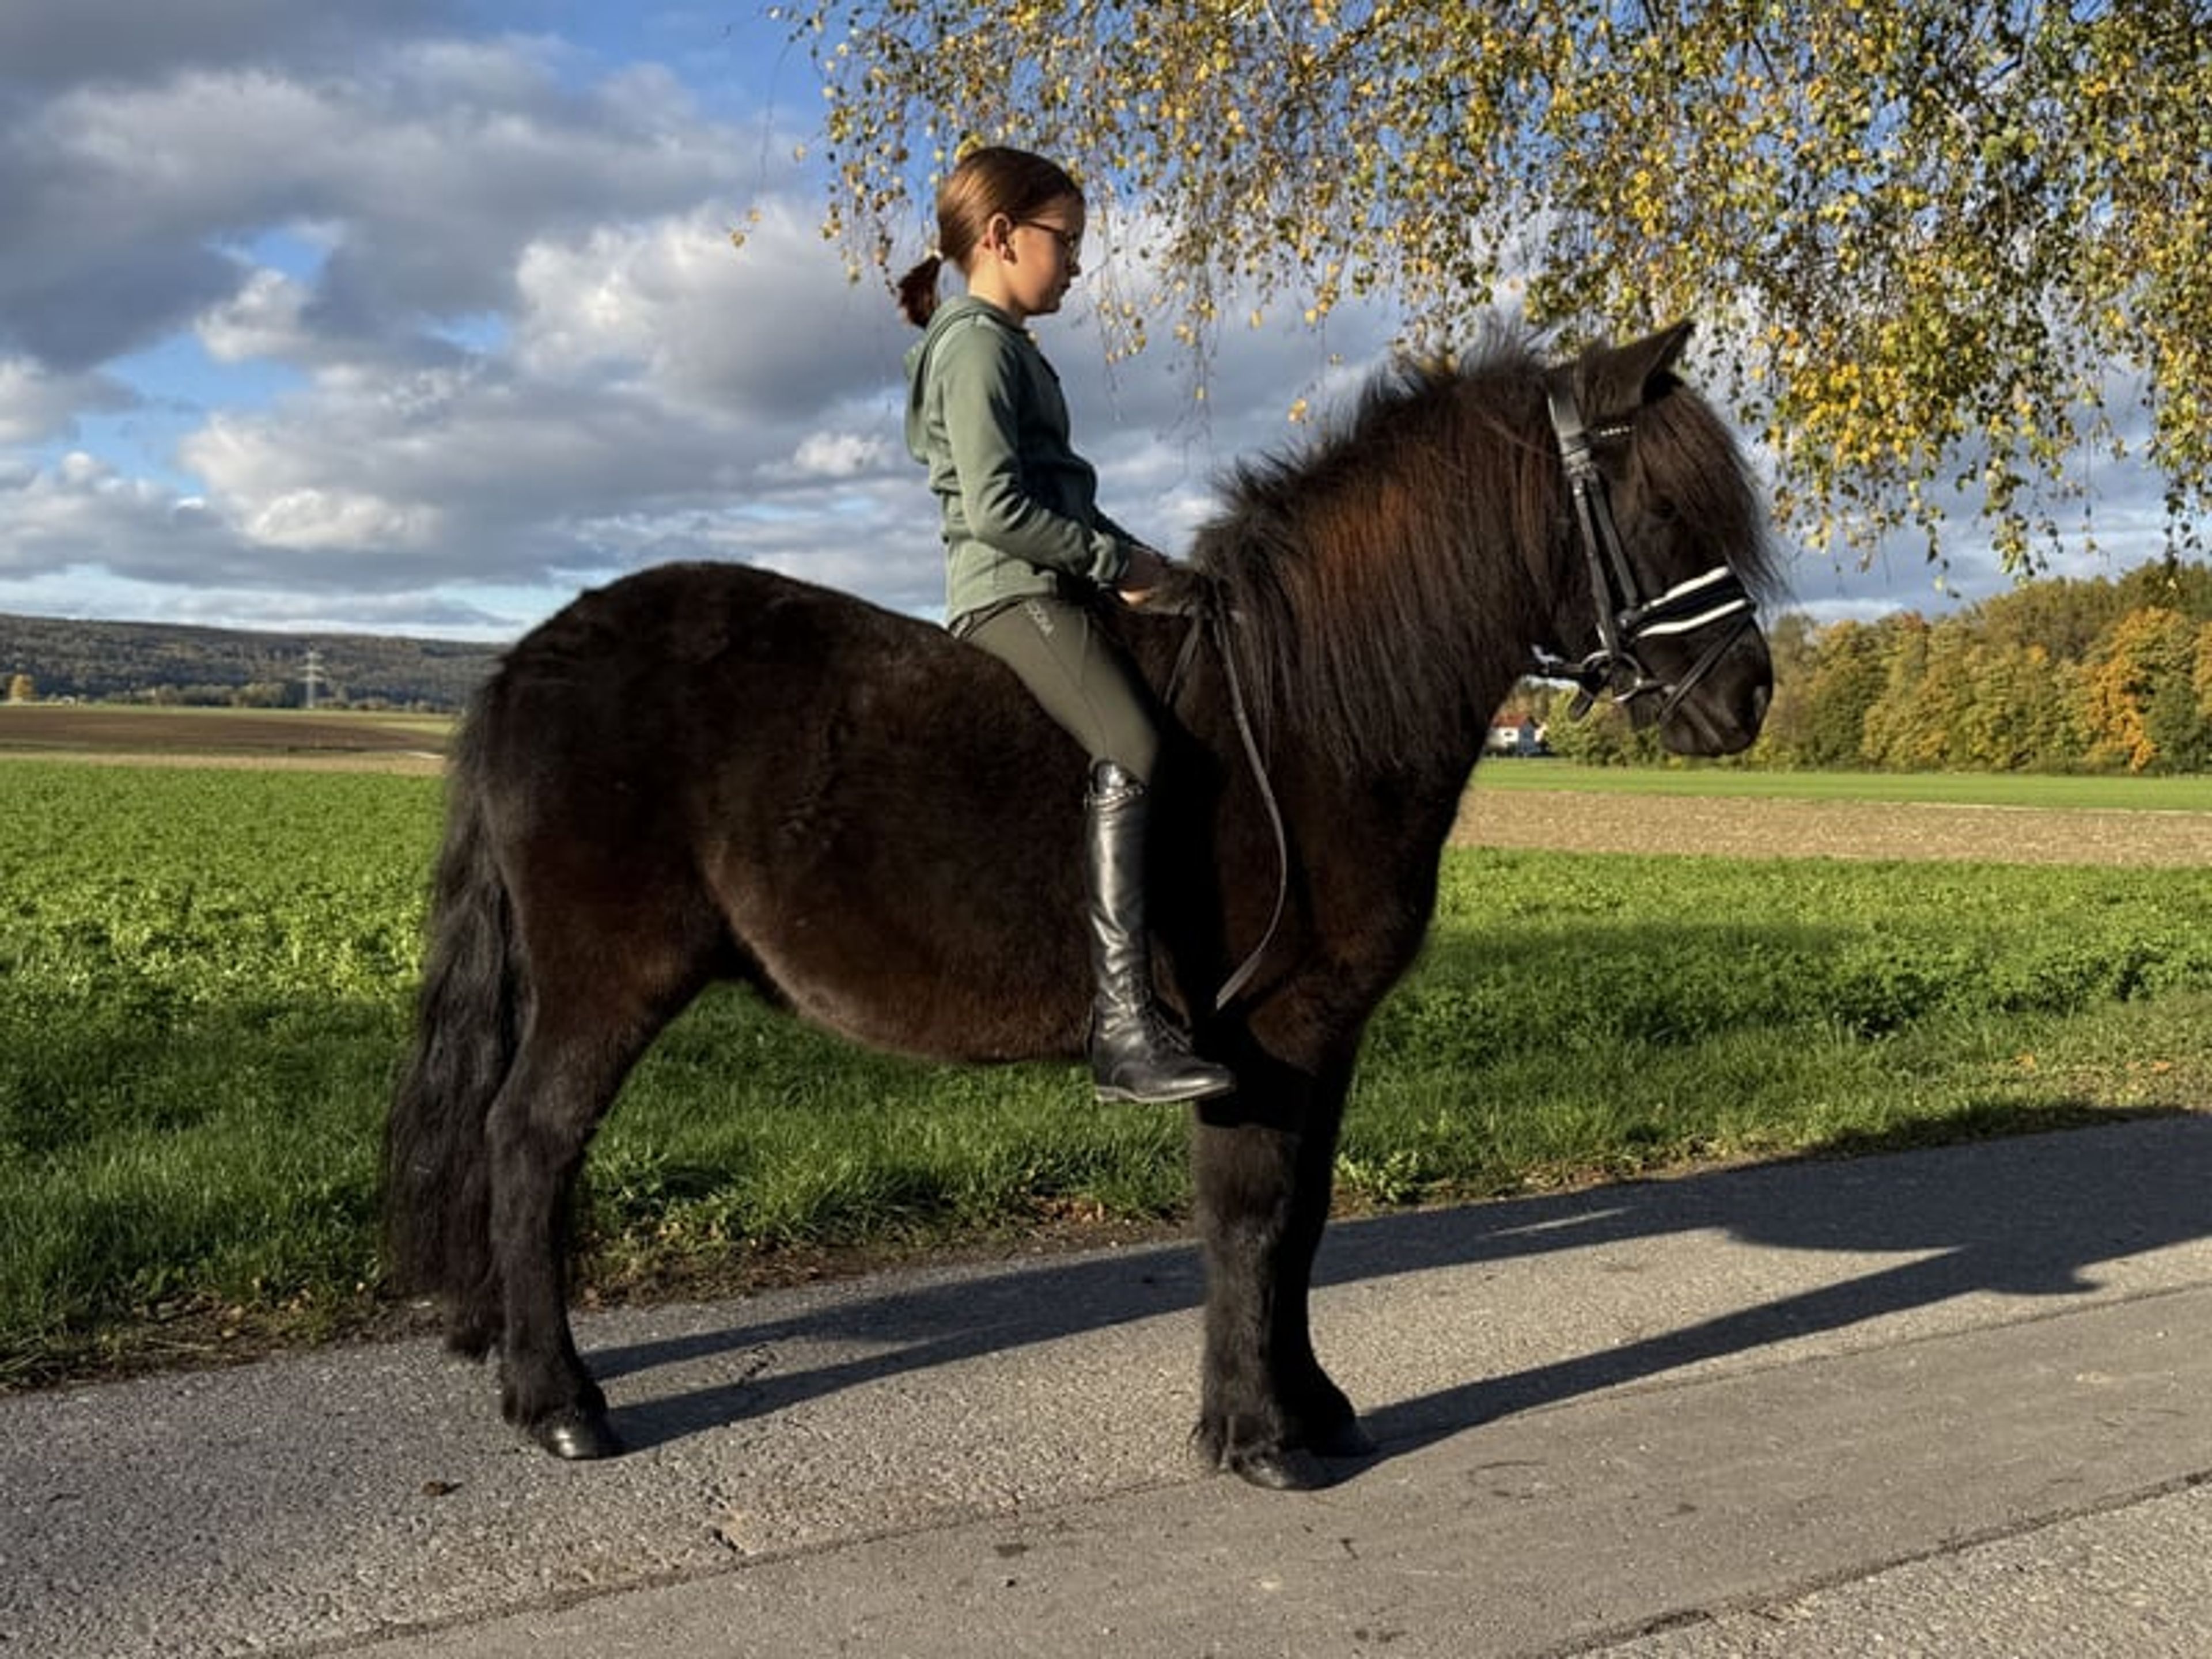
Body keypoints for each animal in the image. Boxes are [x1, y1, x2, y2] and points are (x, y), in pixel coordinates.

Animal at [384, 320, 1779, 1489]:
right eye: (1662, 506)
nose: (1749, 697)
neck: (1315, 714)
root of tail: (526, 661)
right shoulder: (1261, 1035)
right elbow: (1250, 1214)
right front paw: (1253, 1436)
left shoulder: (1326, 1040)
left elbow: (1308, 1217)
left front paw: (1314, 1406)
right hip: (607, 981)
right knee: (530, 1145)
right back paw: (561, 1404)